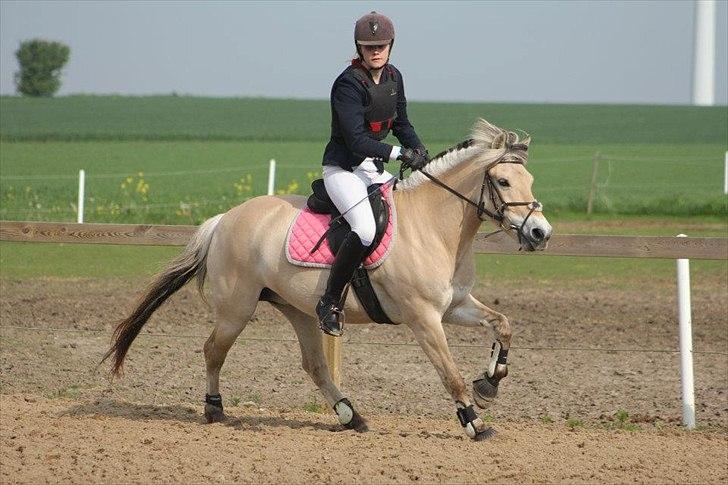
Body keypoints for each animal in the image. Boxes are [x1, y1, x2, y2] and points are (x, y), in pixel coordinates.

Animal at [104, 117, 552, 438]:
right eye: (503, 181)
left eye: (530, 181)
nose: (540, 233)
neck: (434, 227)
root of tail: (225, 218)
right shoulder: (423, 318)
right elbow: (450, 374)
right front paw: (475, 421)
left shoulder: (453, 306)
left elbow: (503, 325)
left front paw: (490, 383)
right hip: (237, 309)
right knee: (213, 350)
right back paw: (215, 408)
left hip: (299, 310)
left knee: (315, 366)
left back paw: (350, 415)